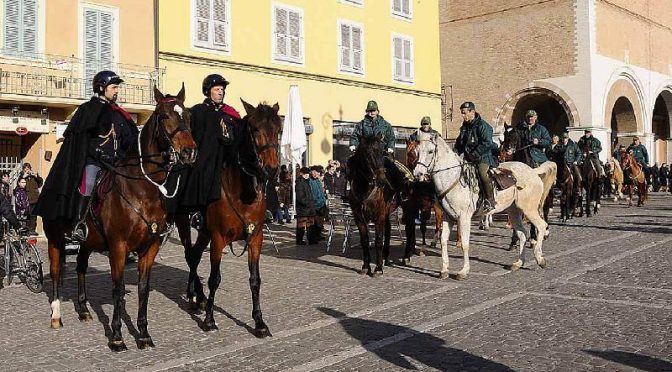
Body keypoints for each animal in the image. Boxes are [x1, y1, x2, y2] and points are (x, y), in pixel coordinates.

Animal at [44, 85, 197, 350]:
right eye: (164, 116)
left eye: (187, 115)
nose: (189, 152)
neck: (142, 191)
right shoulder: (118, 247)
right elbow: (117, 288)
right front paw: (116, 336)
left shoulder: (149, 247)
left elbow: (143, 289)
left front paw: (143, 333)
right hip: (55, 237)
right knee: (55, 272)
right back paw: (56, 315)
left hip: (88, 242)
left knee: (81, 267)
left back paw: (83, 309)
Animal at [173, 99, 280, 334]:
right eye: (255, 128)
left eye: (279, 129)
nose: (271, 169)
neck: (243, 194)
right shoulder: (218, 239)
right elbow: (215, 279)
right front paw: (209, 320)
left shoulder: (256, 238)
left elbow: (255, 280)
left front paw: (259, 322)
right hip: (184, 223)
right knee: (190, 255)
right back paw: (195, 297)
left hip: (204, 232)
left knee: (195, 255)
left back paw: (197, 297)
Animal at [346, 134, 400, 276]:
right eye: (368, 153)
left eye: (382, 152)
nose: (382, 180)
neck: (364, 187)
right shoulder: (358, 217)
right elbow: (365, 241)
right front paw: (366, 266)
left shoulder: (379, 215)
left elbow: (378, 240)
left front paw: (378, 268)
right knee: (388, 229)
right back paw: (385, 257)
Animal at [414, 133, 556, 280]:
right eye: (417, 151)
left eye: (430, 151)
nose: (417, 174)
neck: (453, 178)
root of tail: (532, 171)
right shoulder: (448, 217)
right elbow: (443, 241)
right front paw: (444, 269)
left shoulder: (464, 218)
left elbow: (465, 244)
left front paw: (464, 271)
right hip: (514, 211)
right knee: (522, 233)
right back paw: (518, 263)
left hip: (529, 209)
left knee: (541, 226)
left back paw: (539, 258)